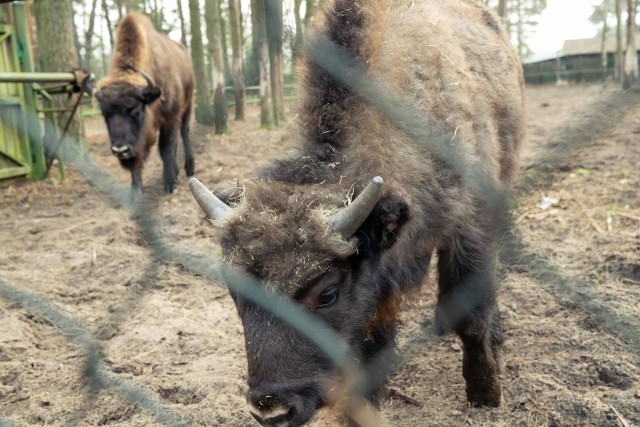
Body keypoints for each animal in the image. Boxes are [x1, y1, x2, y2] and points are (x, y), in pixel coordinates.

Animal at [96, 12, 194, 195]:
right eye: (105, 115)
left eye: (135, 111)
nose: (120, 150)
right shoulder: (139, 139)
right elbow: (143, 155)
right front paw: (135, 192)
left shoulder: (170, 117)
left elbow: (166, 148)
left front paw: (170, 185)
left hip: (188, 104)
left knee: (184, 132)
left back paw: (189, 168)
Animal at [188, 0, 524, 424]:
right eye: (234, 290)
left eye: (327, 293)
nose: (272, 410)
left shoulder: (469, 230)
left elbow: (472, 318)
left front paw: (486, 395)